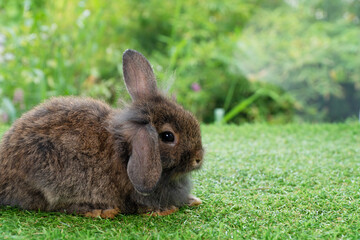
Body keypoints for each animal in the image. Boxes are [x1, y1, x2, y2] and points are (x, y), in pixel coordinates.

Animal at [0, 49, 202, 218]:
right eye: (168, 136)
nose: (198, 158)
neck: (127, 147)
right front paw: (166, 209)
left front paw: (192, 200)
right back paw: (101, 211)